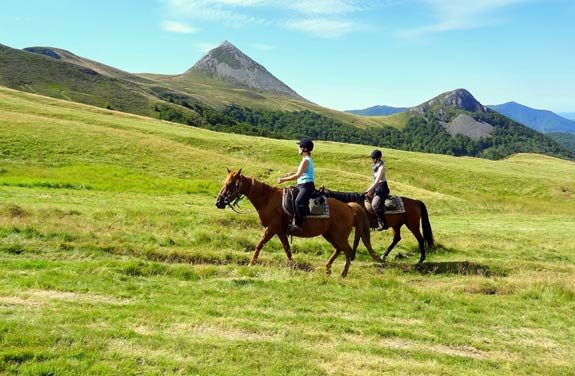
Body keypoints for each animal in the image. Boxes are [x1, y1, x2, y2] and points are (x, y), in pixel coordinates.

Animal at [216, 169, 364, 278]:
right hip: (329, 234)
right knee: (339, 249)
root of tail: (349, 207)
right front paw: (293, 266)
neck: (267, 199)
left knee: (348, 250)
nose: (218, 202)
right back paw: (327, 269)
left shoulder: (272, 228)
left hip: (339, 236)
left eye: (229, 184)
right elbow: (287, 249)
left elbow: (259, 244)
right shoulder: (280, 231)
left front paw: (251, 264)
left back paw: (343, 273)